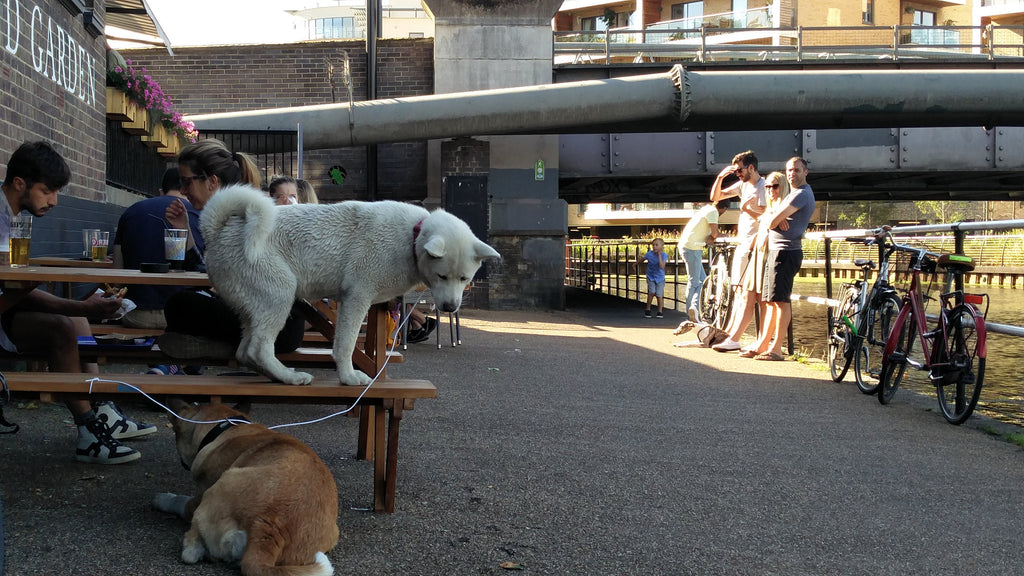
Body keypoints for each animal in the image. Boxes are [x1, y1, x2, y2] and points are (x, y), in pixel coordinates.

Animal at [152, 399, 335, 573]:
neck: (224, 427)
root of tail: (268, 529)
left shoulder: (199, 496)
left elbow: (182, 502)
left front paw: (163, 498)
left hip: (220, 486)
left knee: (191, 552)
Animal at [198, 182, 499, 385]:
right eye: (441, 277)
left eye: (464, 279)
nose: (449, 308)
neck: (412, 238)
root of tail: (217, 231)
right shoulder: (356, 298)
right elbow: (345, 344)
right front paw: (349, 377)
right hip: (280, 294)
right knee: (258, 349)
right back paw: (290, 377)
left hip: (254, 306)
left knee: (244, 351)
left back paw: (279, 376)